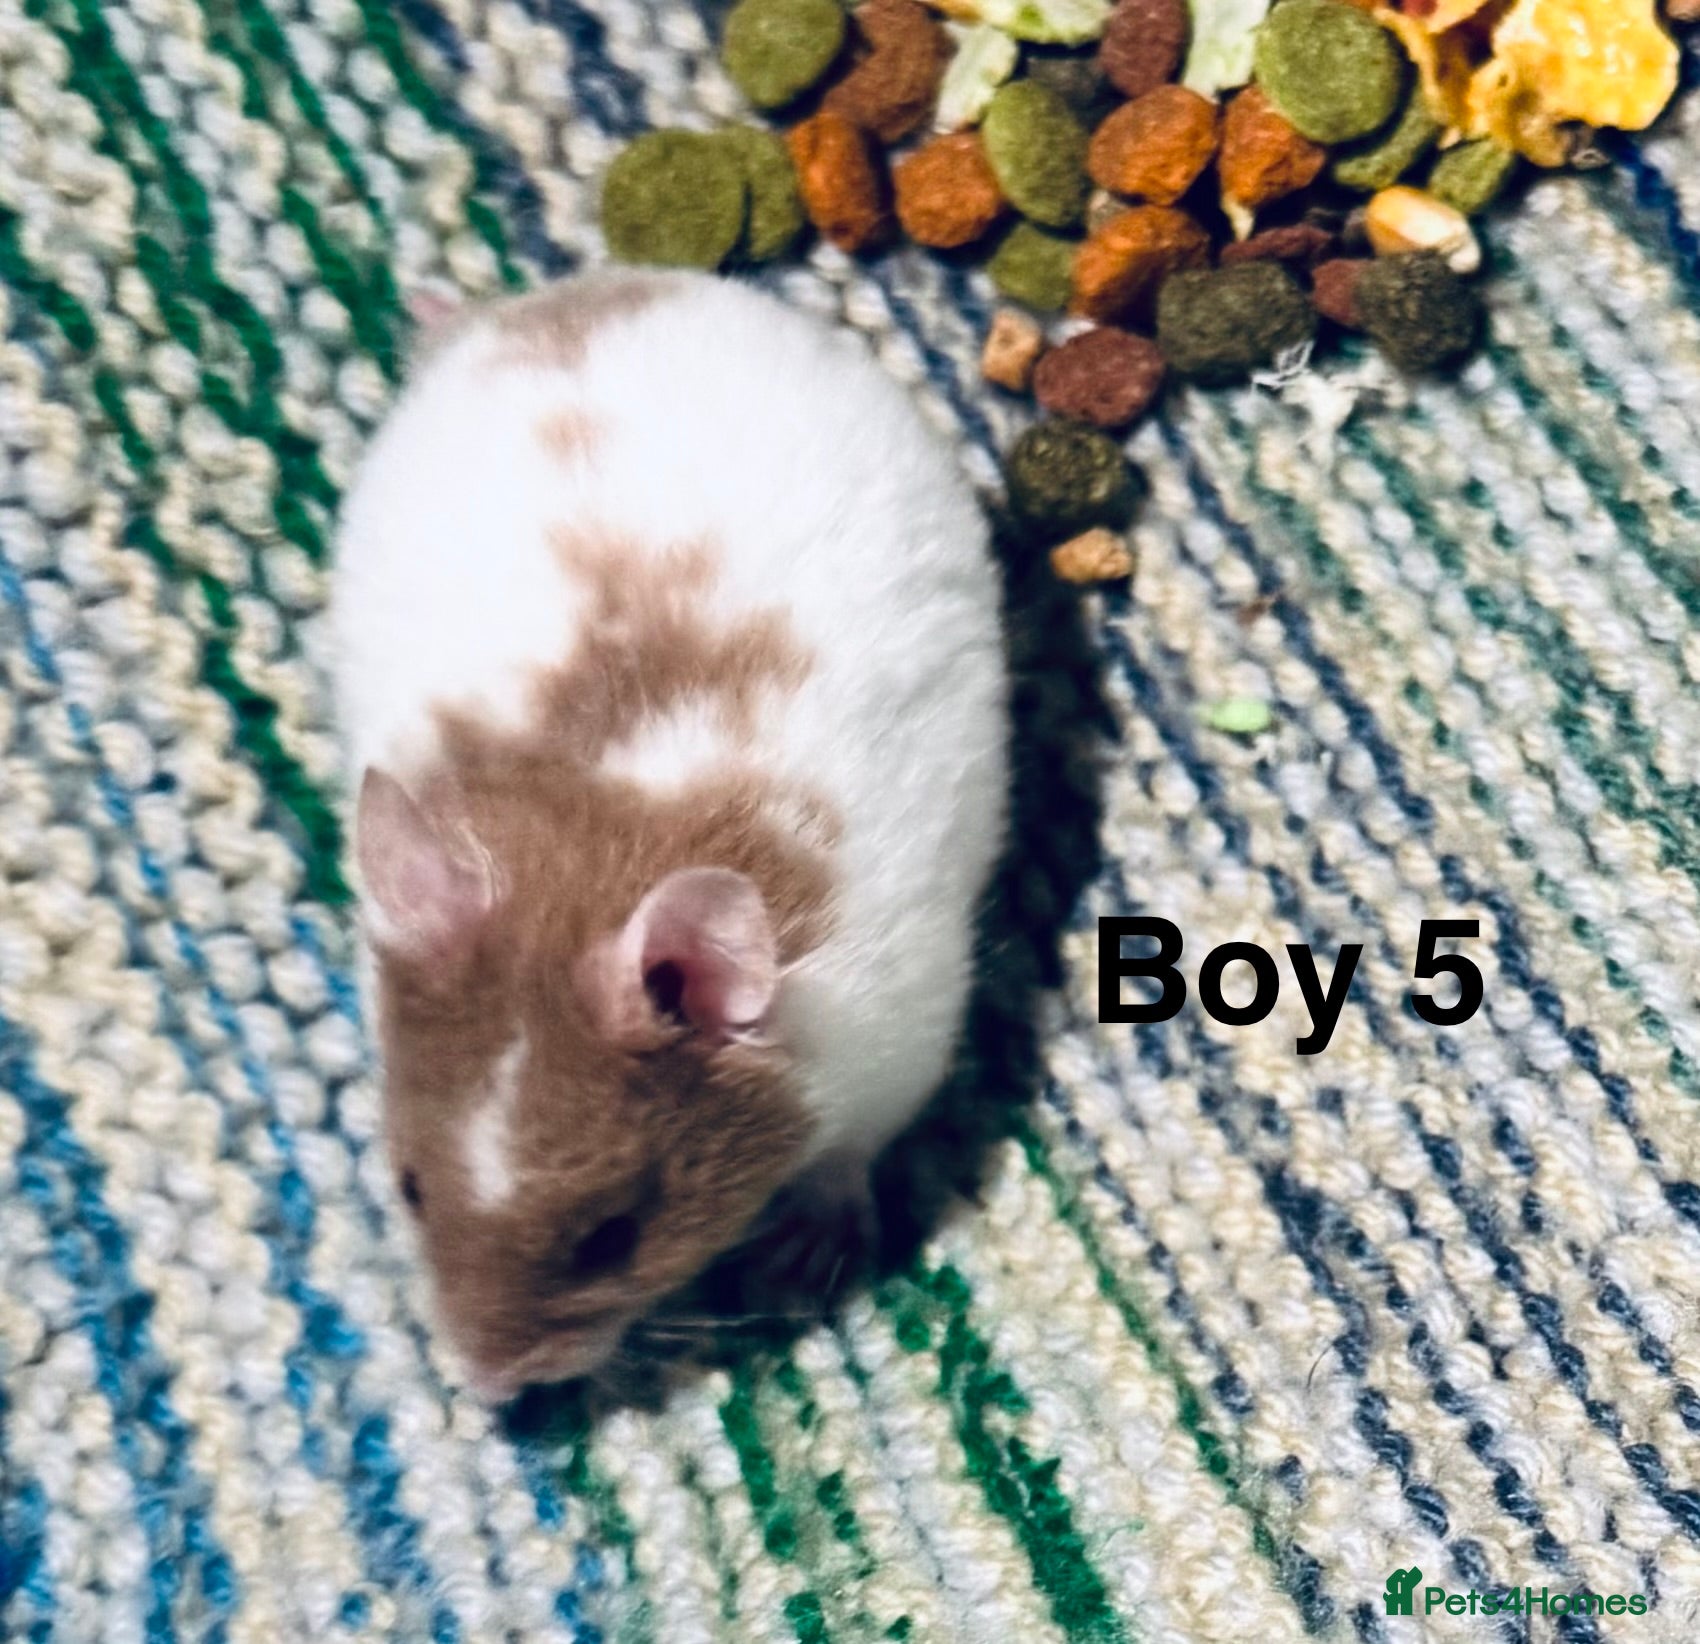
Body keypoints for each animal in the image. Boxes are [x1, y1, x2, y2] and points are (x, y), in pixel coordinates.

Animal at [331, 270, 1009, 1399]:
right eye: (409, 1185)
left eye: (612, 1237)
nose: (484, 1387)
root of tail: (579, 295)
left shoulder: (901, 1045)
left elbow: (846, 1164)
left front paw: (801, 1263)